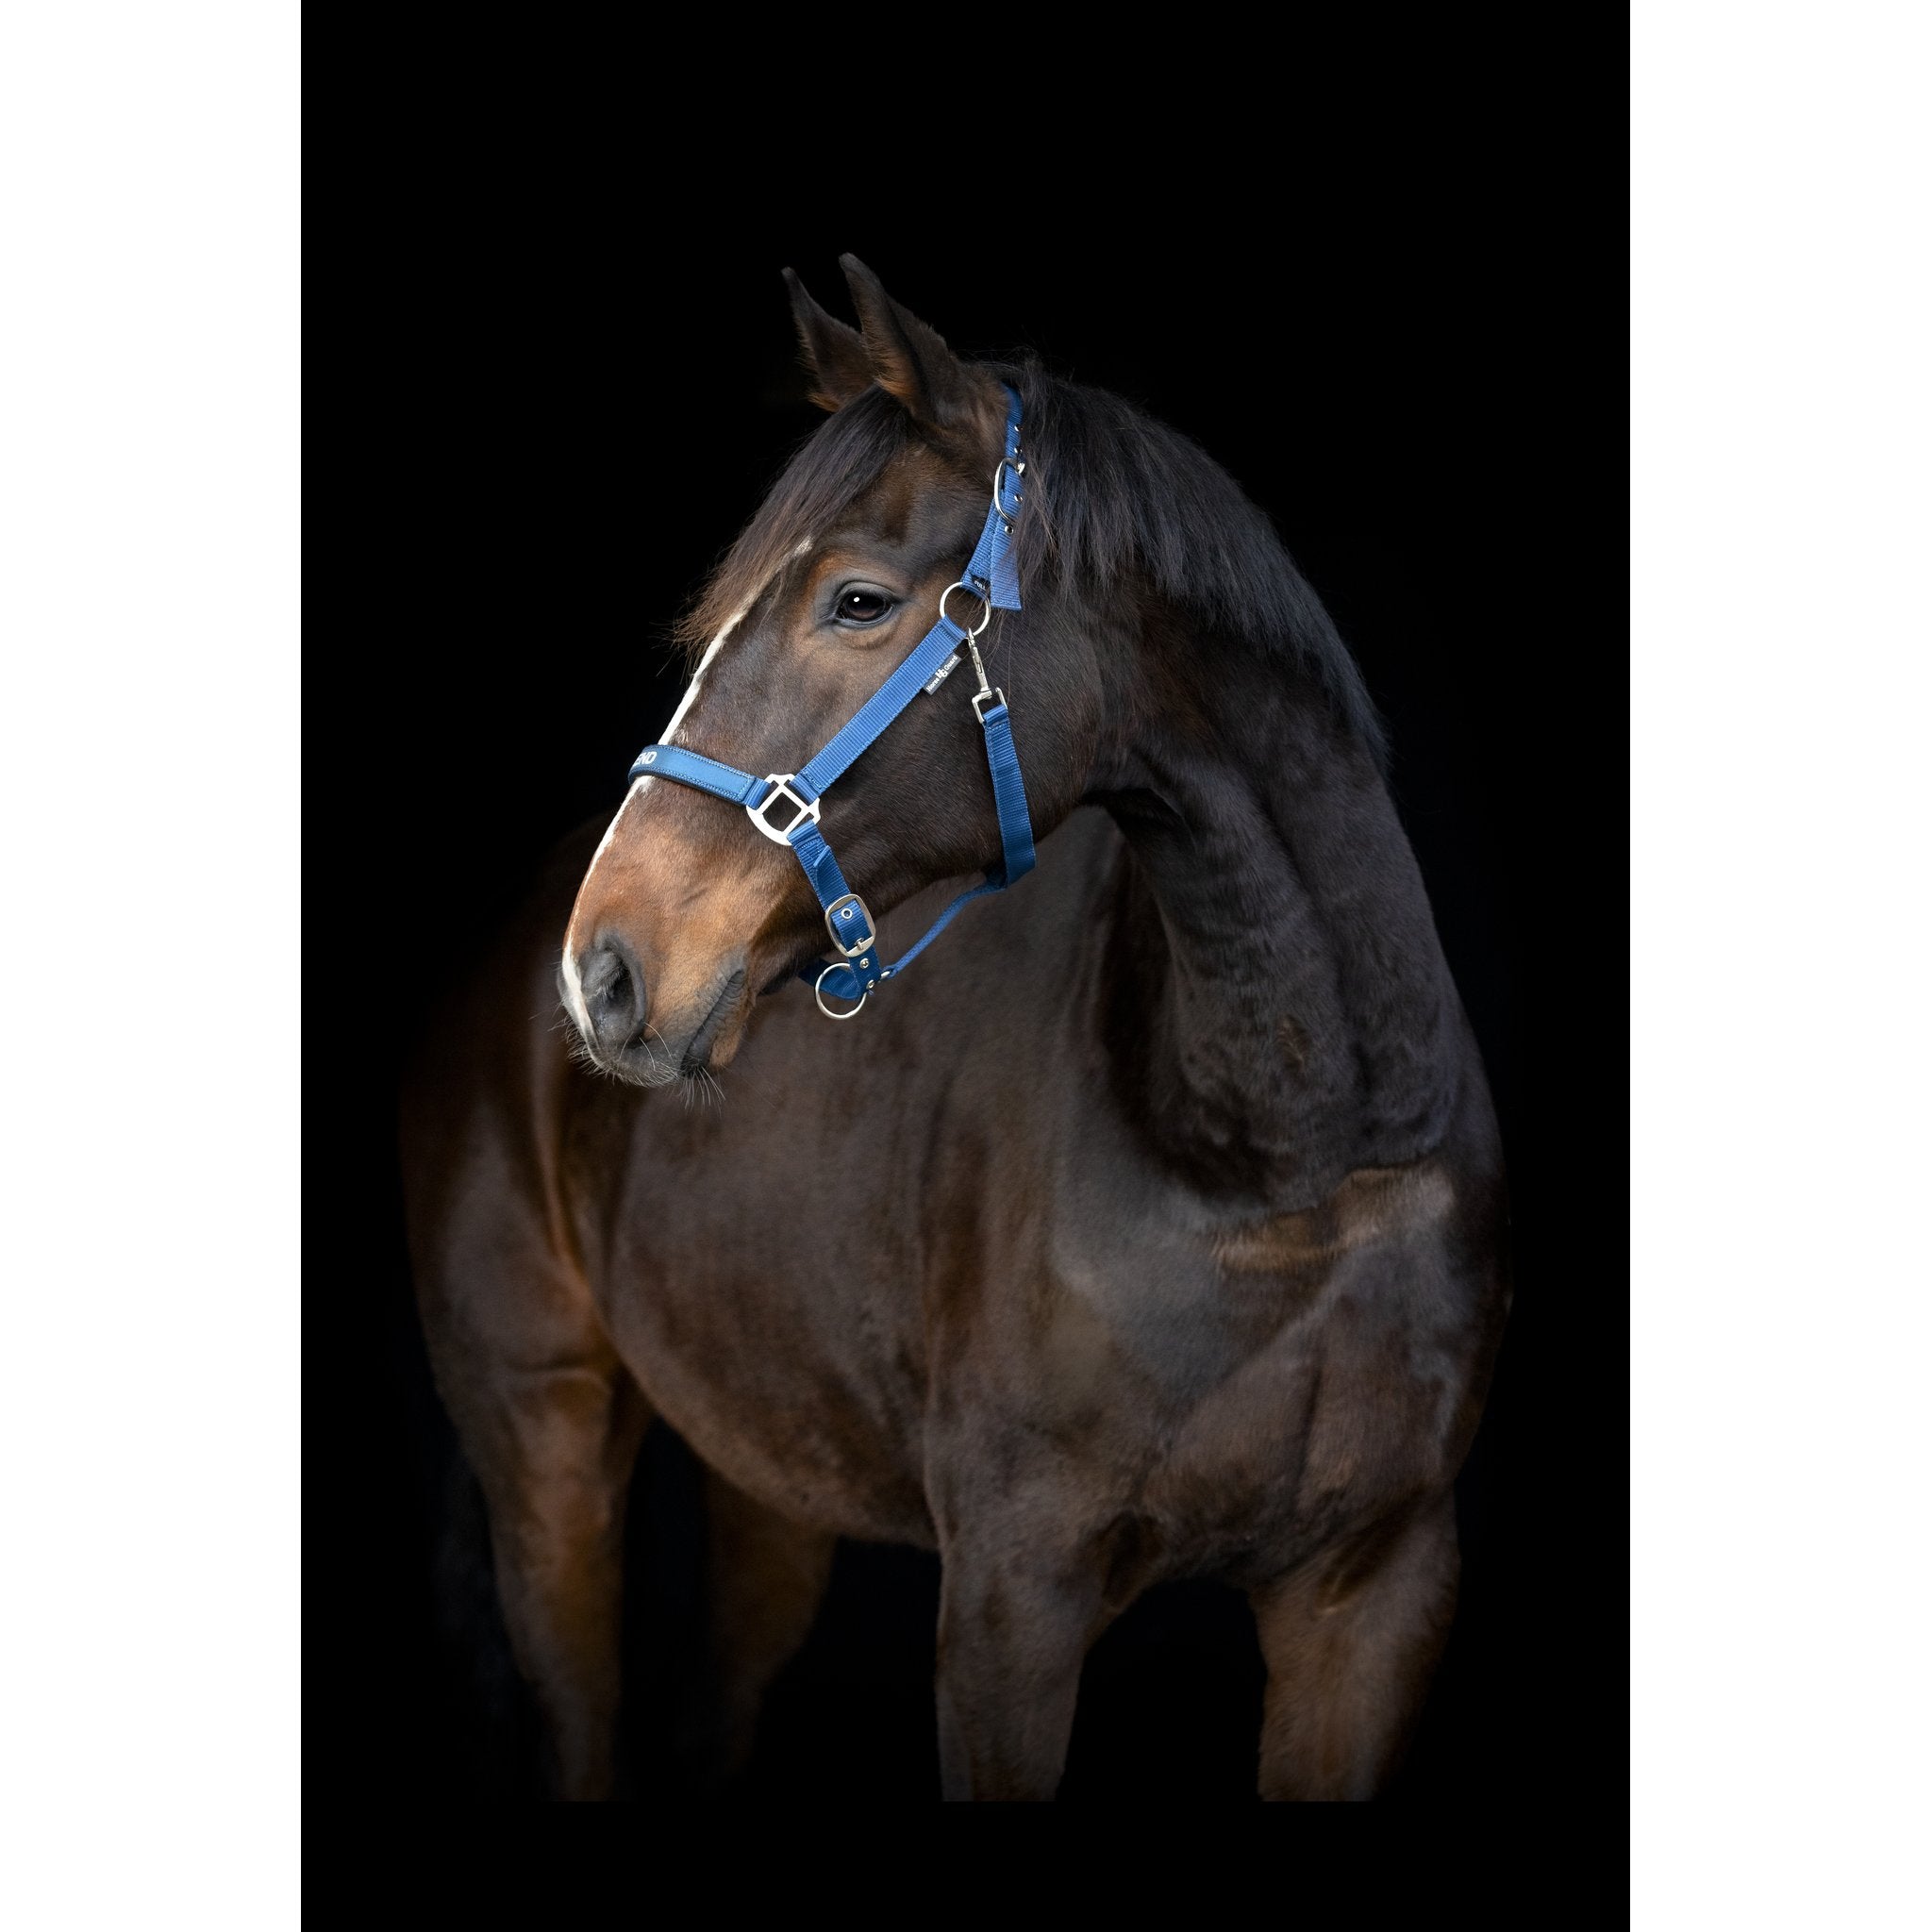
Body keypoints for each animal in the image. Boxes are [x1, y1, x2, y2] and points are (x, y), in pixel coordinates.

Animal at [398, 254, 1511, 1802]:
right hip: (545, 1450)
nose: (607, 968)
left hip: (768, 1471)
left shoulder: (1376, 1596)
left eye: (858, 601)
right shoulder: (1008, 1597)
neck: (1295, 1157)